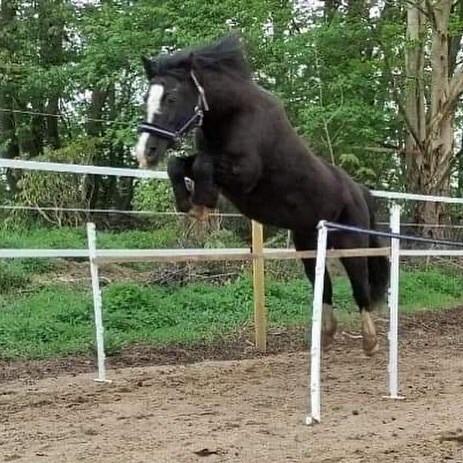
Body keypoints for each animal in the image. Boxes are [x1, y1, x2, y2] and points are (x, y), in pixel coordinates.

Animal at [134, 34, 388, 358]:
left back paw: (370, 341)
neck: (235, 113)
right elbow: (179, 164)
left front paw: (202, 202)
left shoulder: (243, 173)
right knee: (326, 290)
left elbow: (202, 163)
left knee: (360, 290)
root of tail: (359, 192)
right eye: (146, 98)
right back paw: (326, 337)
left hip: (351, 245)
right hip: (308, 247)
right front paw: (188, 204)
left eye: (172, 98)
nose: (145, 151)